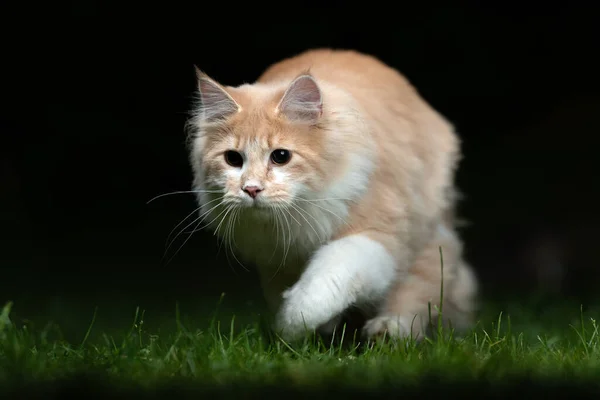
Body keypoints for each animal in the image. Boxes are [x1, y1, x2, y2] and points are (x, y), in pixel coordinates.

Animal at [186, 47, 478, 340]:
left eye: (280, 157)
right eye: (233, 159)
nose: (251, 188)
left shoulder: (375, 235)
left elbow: (322, 285)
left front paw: (291, 323)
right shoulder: (276, 260)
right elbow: (287, 294)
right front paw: (311, 331)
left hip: (425, 235)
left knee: (417, 288)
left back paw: (388, 330)